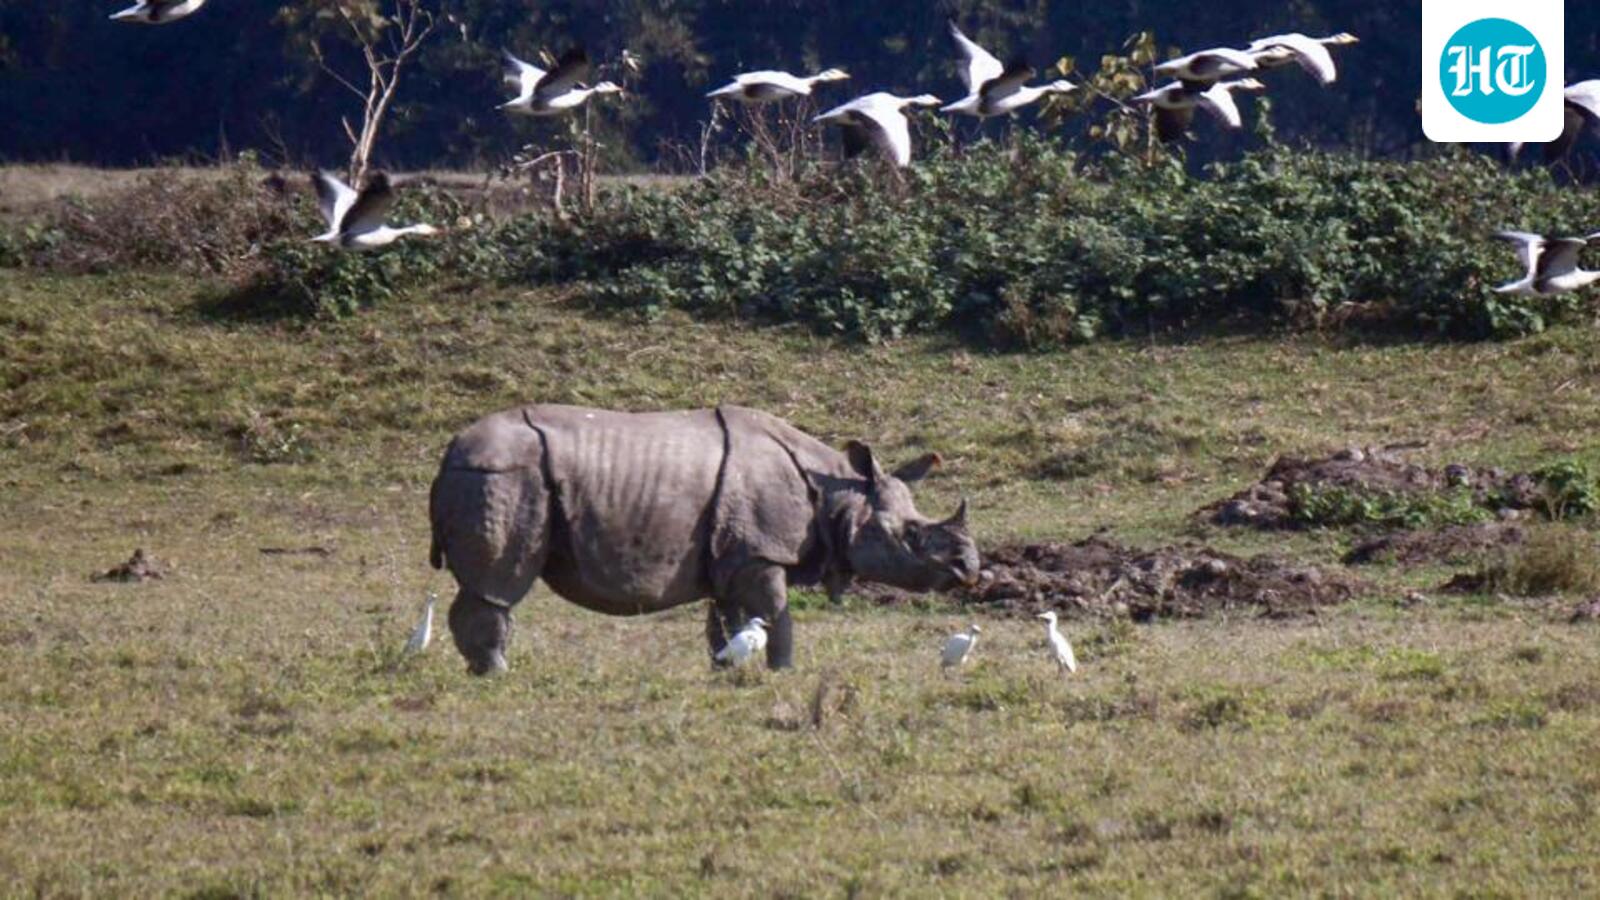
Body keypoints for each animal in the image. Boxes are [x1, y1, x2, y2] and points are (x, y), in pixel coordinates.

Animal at [428, 404, 980, 675]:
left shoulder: (732, 555)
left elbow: (729, 623)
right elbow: (775, 615)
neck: (839, 493)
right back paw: (497, 673)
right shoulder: (760, 552)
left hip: (491, 473)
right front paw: (783, 672)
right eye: (912, 535)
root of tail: (450, 450)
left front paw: (727, 670)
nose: (969, 570)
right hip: (503, 475)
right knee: (496, 587)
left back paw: (482, 670)